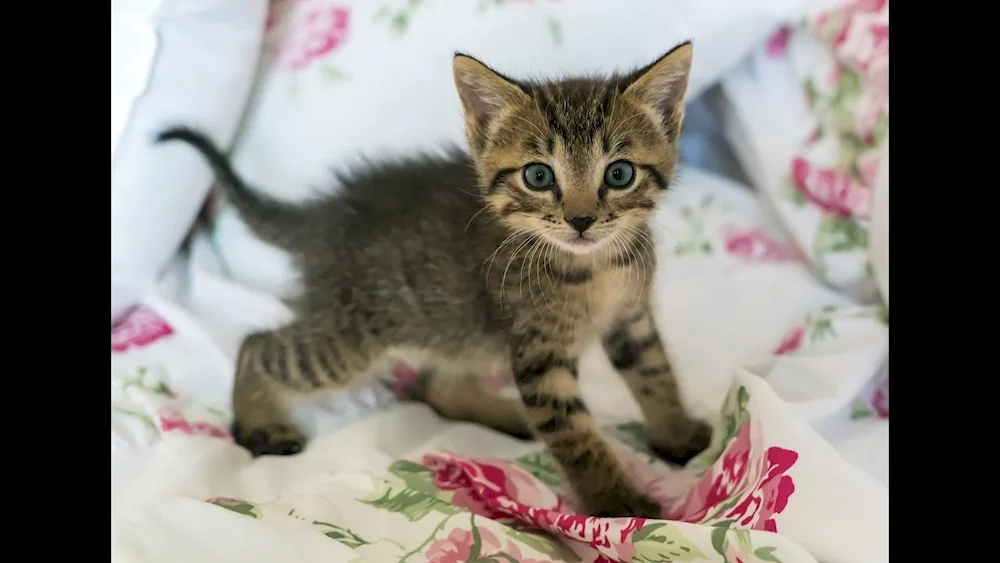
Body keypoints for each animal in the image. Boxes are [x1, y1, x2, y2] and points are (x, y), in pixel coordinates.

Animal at [158, 41, 712, 520]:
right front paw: (620, 503)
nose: (580, 220)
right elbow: (575, 434)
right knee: (258, 345)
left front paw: (677, 434)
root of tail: (327, 215)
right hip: (351, 341)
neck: (594, 267)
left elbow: (656, 373)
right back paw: (259, 424)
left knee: (437, 384)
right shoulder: (539, 354)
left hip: (457, 330)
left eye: (619, 174)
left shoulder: (631, 318)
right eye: (538, 176)